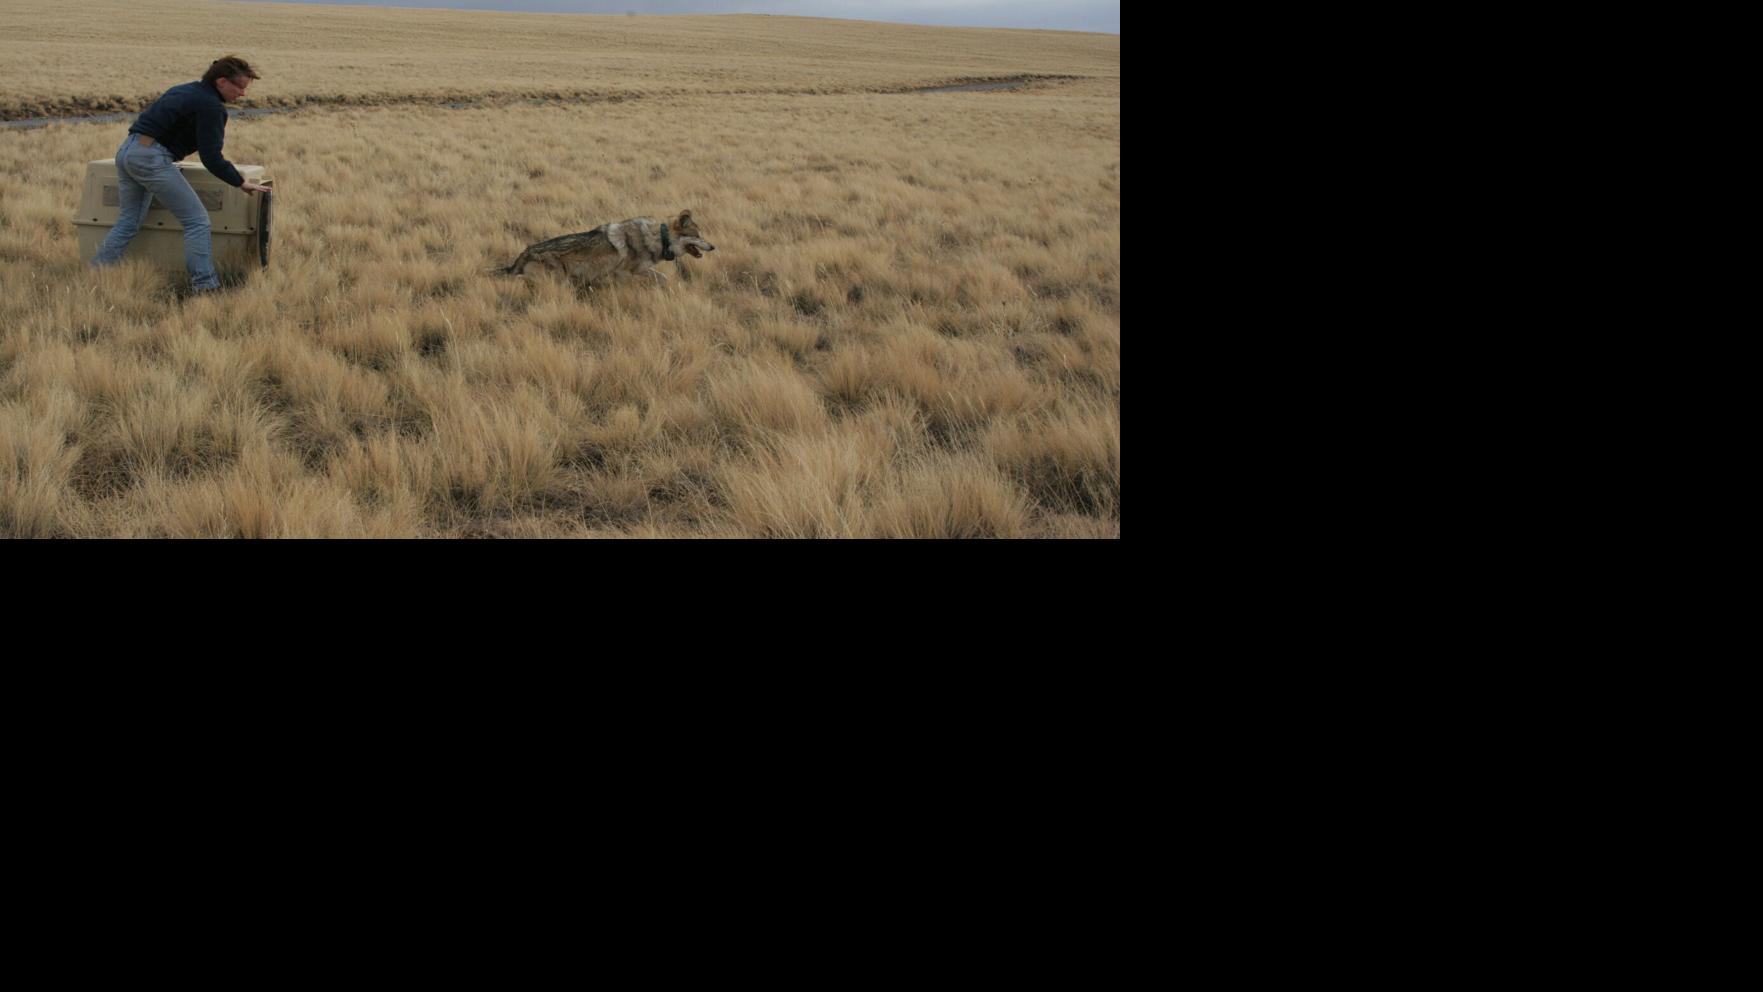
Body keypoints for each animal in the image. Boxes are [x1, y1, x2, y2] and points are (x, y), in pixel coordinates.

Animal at [497, 210, 715, 288]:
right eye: (697, 236)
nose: (713, 246)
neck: (658, 238)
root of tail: (523, 253)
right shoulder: (623, 273)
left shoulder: (640, 270)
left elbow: (662, 277)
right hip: (555, 278)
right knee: (518, 279)